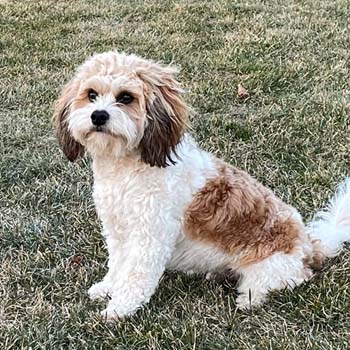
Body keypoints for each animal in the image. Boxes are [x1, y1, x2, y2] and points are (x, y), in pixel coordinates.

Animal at [53, 50, 350, 318]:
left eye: (126, 97)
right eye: (91, 94)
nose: (98, 115)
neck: (126, 170)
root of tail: (310, 246)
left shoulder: (150, 236)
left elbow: (136, 275)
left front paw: (119, 309)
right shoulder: (117, 230)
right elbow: (117, 264)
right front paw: (107, 288)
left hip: (273, 266)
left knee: (284, 281)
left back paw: (249, 298)